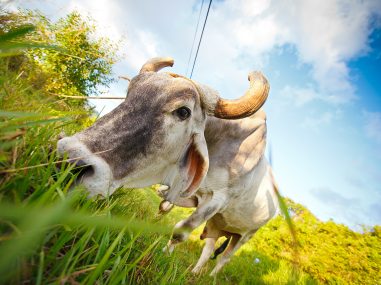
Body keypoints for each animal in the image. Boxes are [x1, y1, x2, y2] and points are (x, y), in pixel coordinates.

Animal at [57, 57, 276, 276]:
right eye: (129, 93)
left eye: (183, 111)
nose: (69, 161)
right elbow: (162, 207)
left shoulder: (218, 199)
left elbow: (181, 231)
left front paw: (164, 254)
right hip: (217, 225)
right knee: (208, 249)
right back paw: (195, 272)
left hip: (245, 235)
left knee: (224, 258)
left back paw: (211, 275)